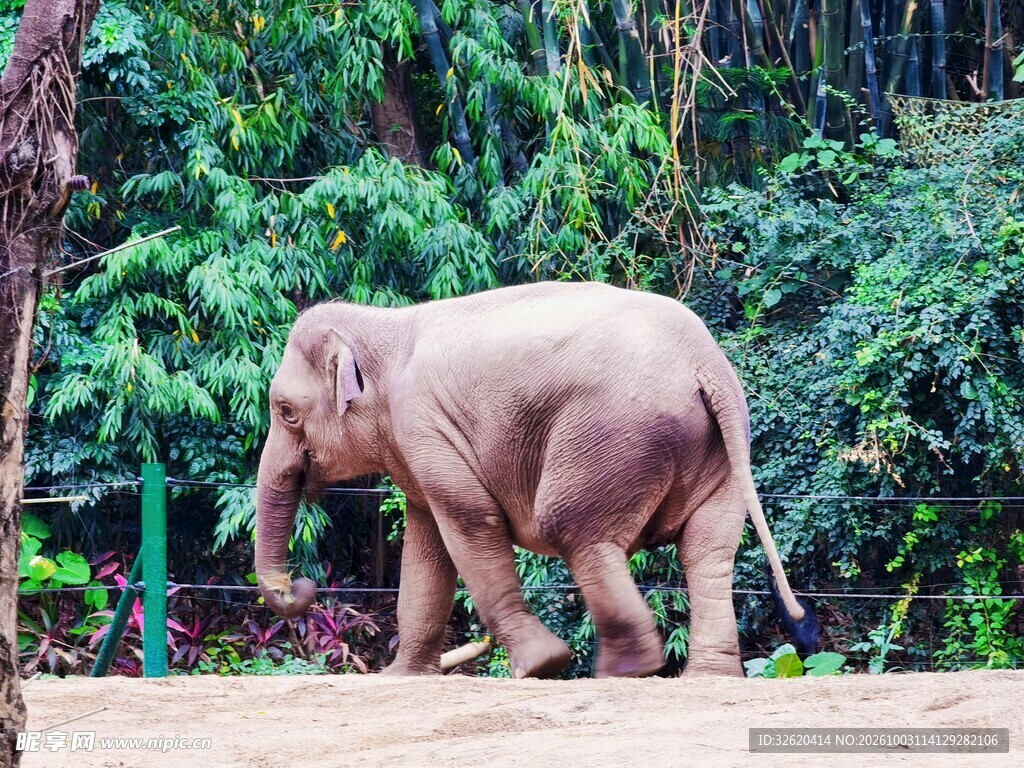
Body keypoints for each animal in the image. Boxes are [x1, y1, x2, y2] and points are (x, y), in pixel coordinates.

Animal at [254, 281, 817, 678]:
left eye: (285, 412)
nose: (299, 586)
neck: (382, 327)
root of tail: (705, 363)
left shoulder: (422, 424)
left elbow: (469, 523)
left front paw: (542, 666)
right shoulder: (418, 443)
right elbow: (426, 548)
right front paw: (402, 678)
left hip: (612, 433)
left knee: (571, 528)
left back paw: (625, 671)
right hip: (720, 446)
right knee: (709, 551)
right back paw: (707, 676)